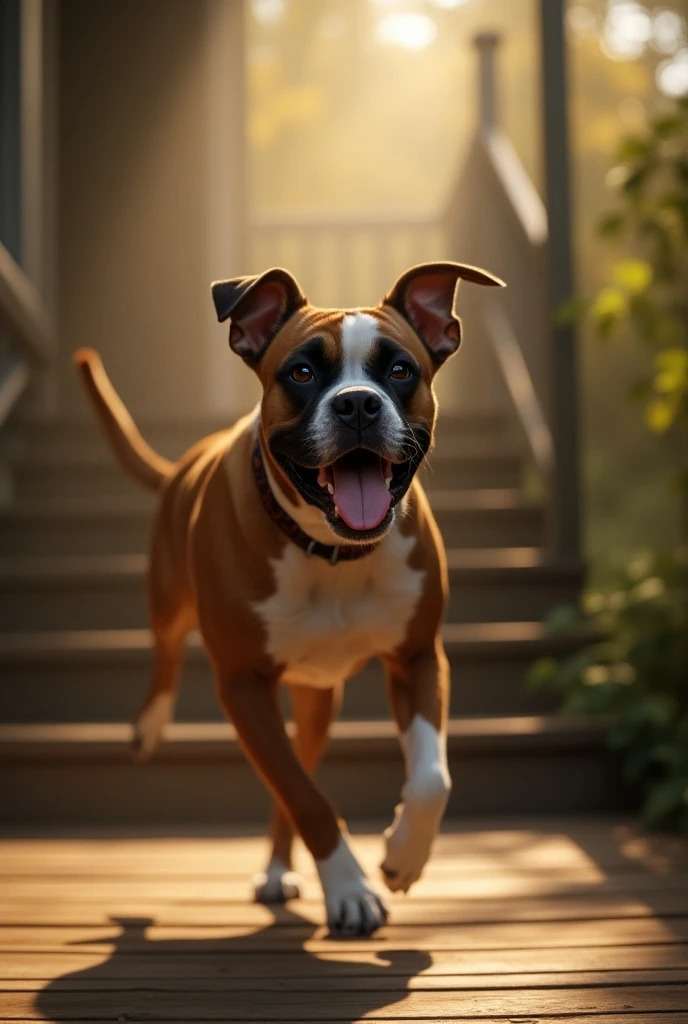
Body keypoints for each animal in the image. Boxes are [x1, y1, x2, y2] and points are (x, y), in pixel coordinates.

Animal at [75, 262, 501, 937]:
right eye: (301, 372)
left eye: (399, 370)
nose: (357, 403)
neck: (331, 551)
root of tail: (183, 466)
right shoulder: (243, 686)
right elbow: (306, 797)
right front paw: (351, 889)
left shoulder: (417, 659)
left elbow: (431, 778)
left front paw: (403, 858)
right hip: (168, 598)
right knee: (167, 653)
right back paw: (149, 726)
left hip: (316, 703)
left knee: (295, 774)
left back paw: (281, 870)